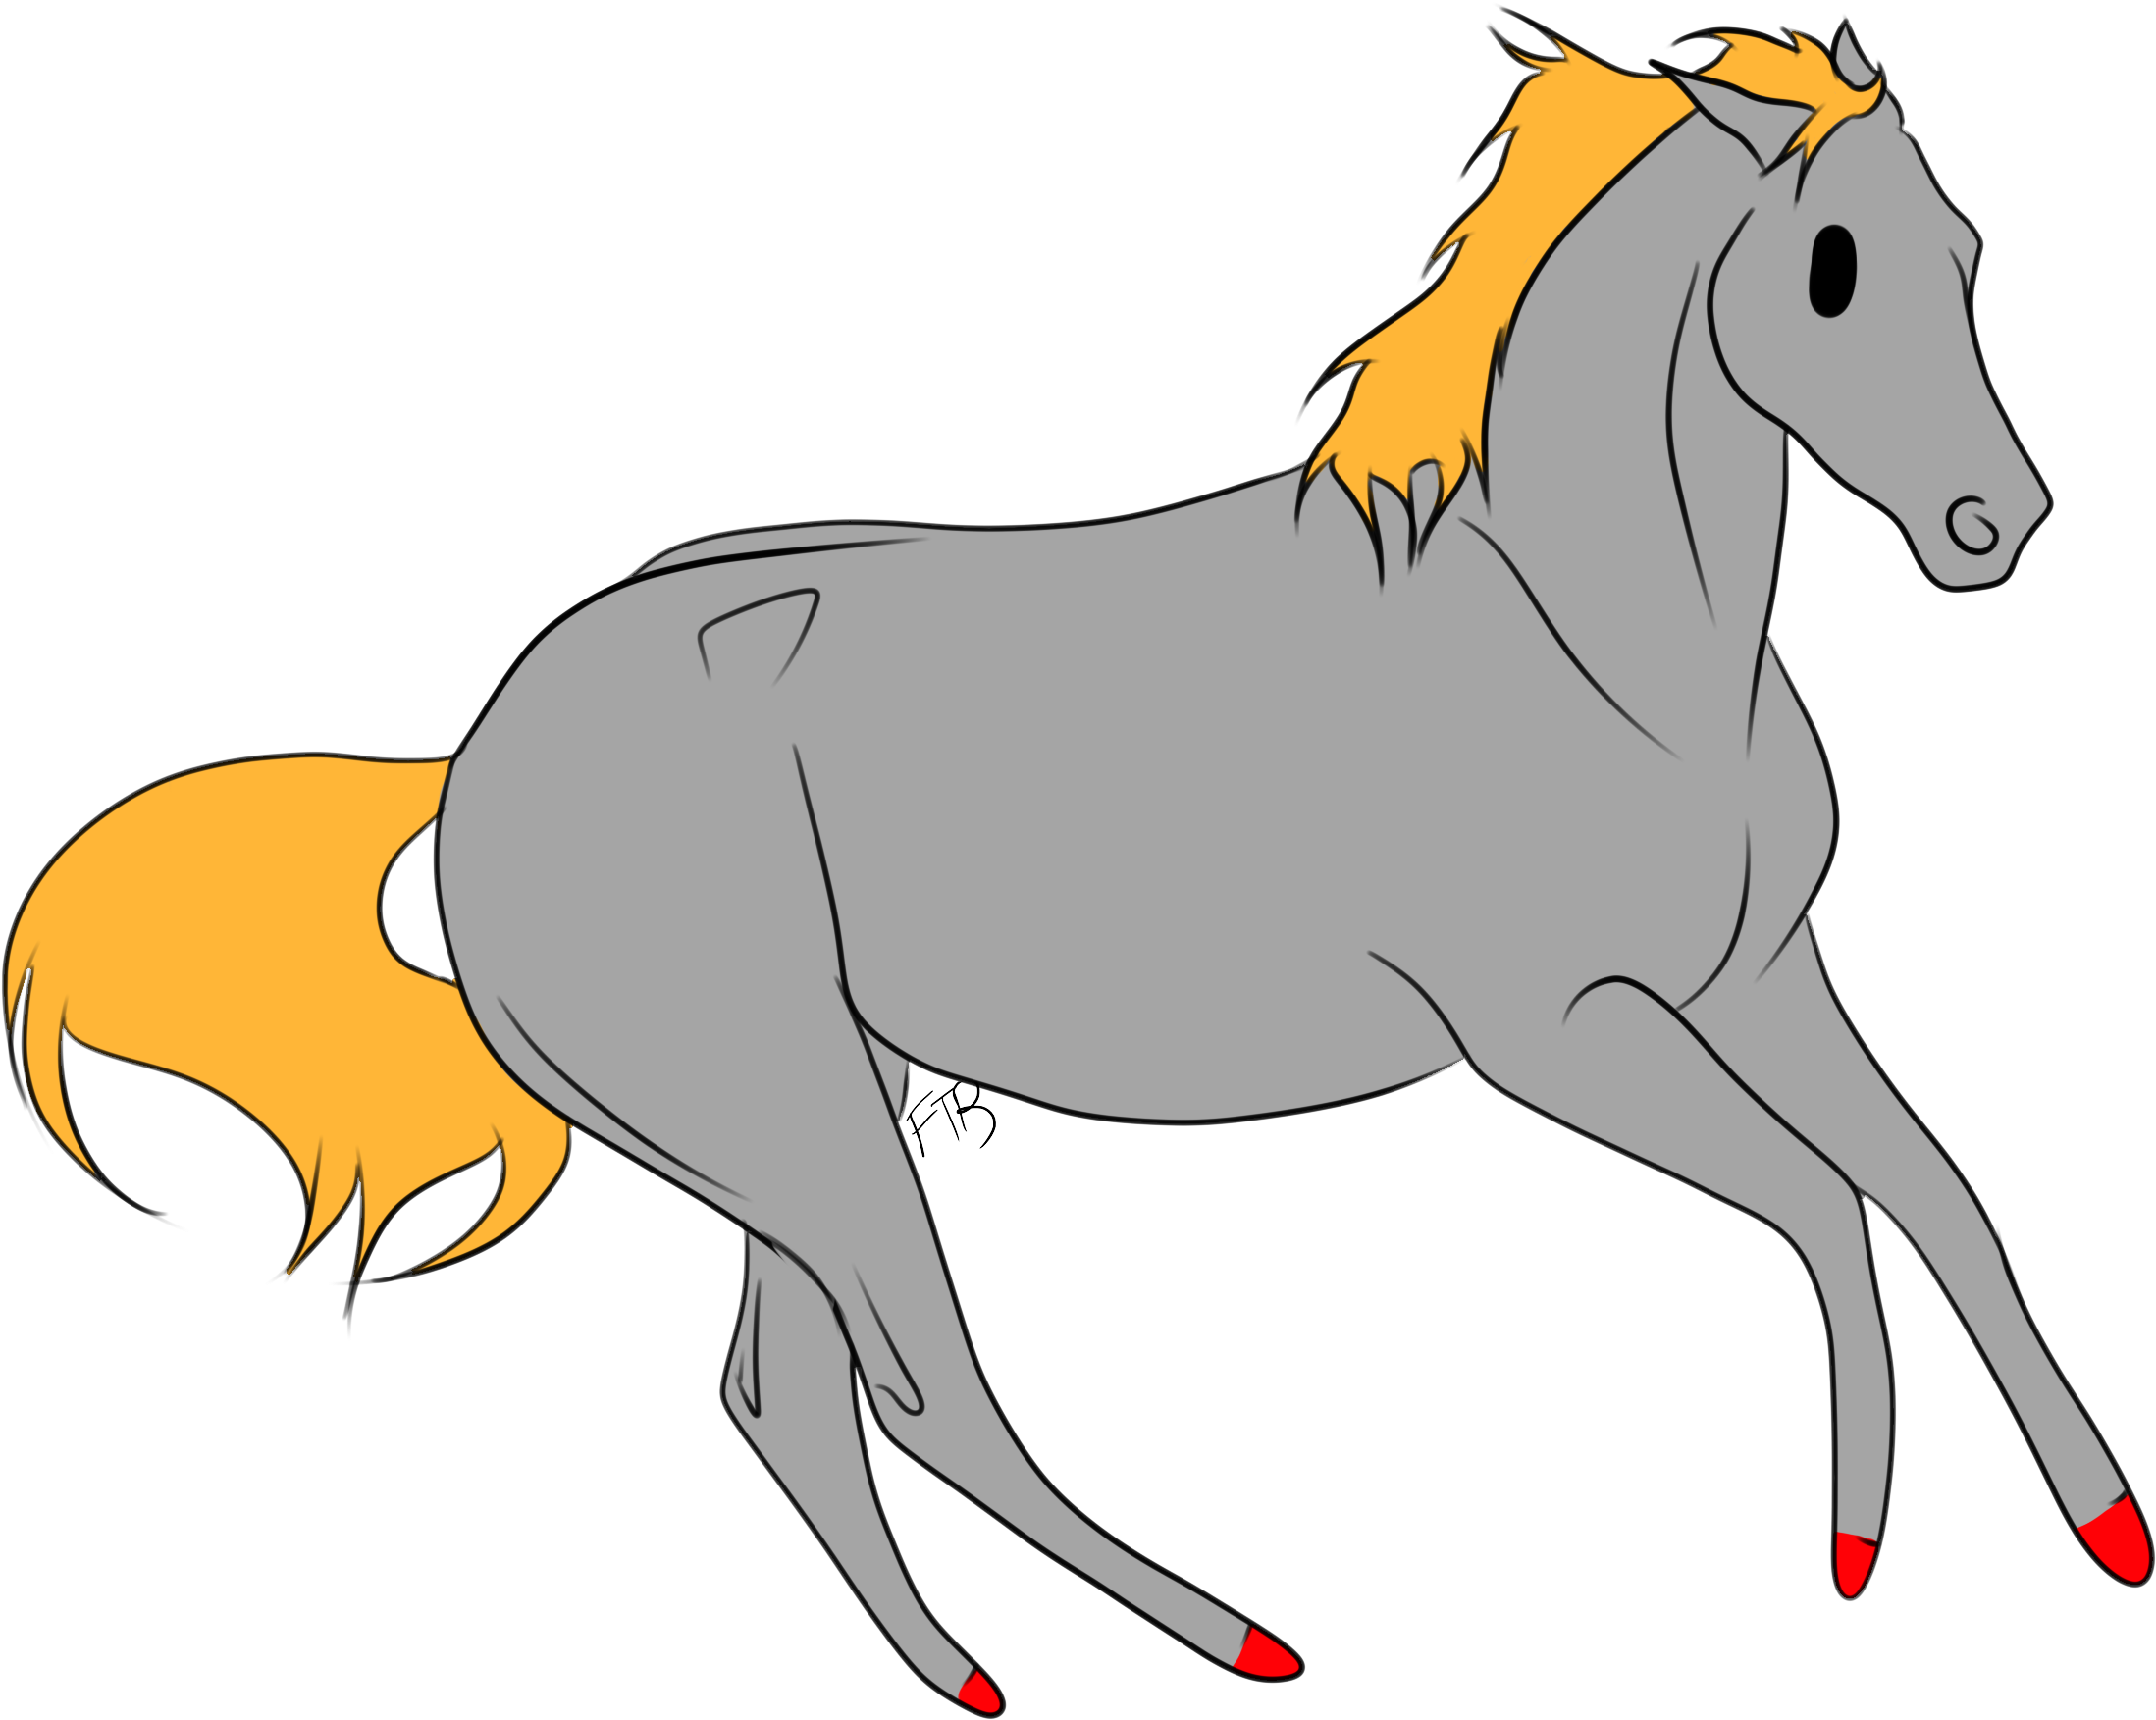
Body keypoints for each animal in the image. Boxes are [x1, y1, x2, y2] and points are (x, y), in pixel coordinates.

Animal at [8, 12, 2146, 1711]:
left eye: (1960, 250)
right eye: (1831, 271)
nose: (1996, 524)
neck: (1592, 640)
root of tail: (475, 759)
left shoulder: (1756, 980)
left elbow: (1934, 1197)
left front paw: (2108, 1529)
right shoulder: (1554, 1031)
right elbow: (1822, 1210)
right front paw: (1856, 1550)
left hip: (811, 1112)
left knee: (788, 1398)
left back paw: (967, 1686)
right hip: (792, 1114)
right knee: (923, 1396)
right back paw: (1242, 1643)